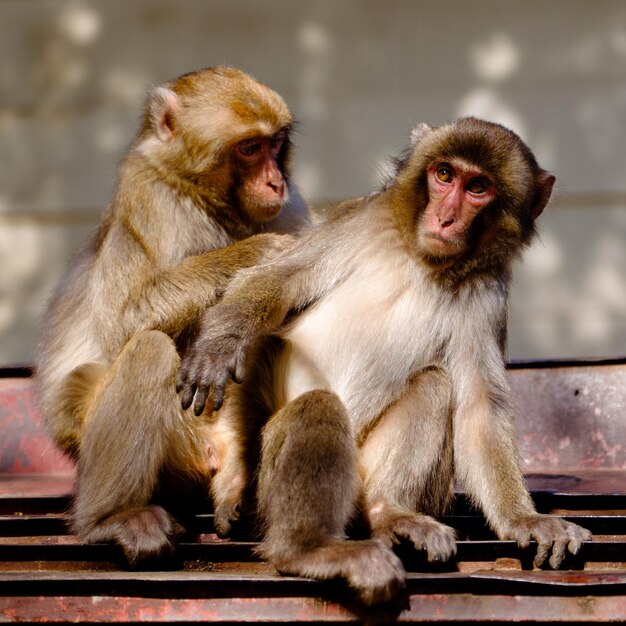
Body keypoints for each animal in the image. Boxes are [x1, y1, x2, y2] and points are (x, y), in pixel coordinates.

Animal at [35, 66, 308, 564]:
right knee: (148, 348)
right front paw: (263, 250)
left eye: (276, 143)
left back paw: (234, 472)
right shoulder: (149, 195)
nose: (276, 183)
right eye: (249, 148)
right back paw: (111, 517)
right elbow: (124, 320)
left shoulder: (290, 208)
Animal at [176, 116, 588, 600]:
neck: (424, 260)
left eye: (478, 187)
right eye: (444, 175)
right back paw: (306, 550)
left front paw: (524, 519)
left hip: (360, 481)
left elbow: (478, 409)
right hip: (274, 476)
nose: (445, 217)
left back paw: (389, 512)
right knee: (315, 406)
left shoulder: (488, 291)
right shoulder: (361, 219)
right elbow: (275, 284)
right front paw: (220, 344)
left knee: (433, 384)